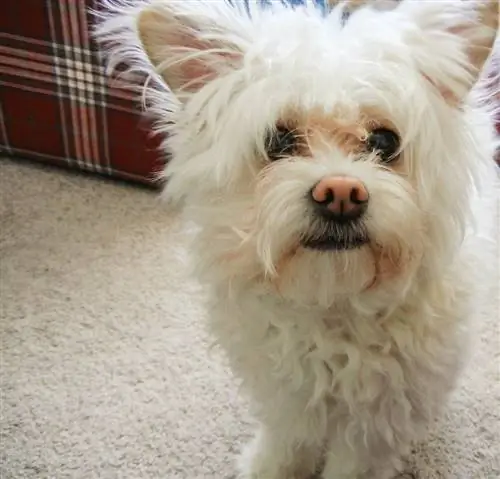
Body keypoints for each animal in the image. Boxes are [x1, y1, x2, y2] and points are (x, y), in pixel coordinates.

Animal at [95, 1, 498, 478]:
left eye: (385, 141)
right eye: (279, 141)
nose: (341, 194)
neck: (331, 300)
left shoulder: (377, 421)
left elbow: (352, 464)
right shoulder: (286, 393)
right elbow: (288, 441)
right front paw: (267, 467)